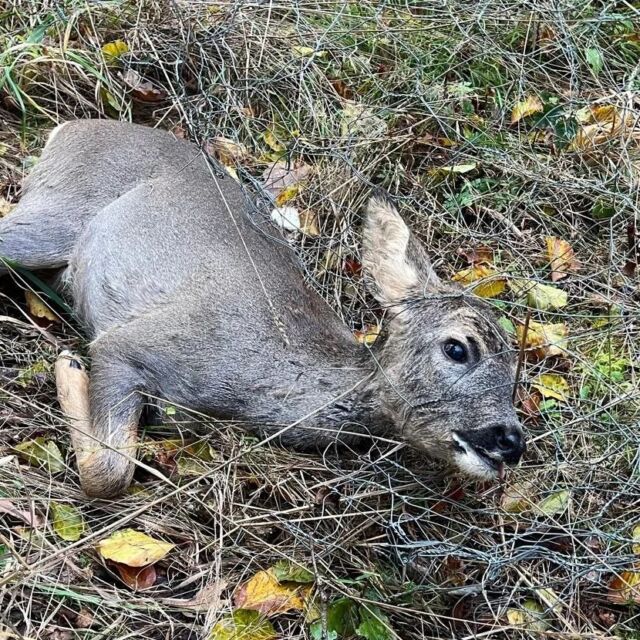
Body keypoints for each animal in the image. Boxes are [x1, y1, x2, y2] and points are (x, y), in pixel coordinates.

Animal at [0, 121, 524, 500]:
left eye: (516, 370)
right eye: (458, 347)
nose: (511, 441)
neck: (261, 388)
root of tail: (67, 128)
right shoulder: (130, 344)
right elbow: (107, 472)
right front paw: (68, 366)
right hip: (55, 214)